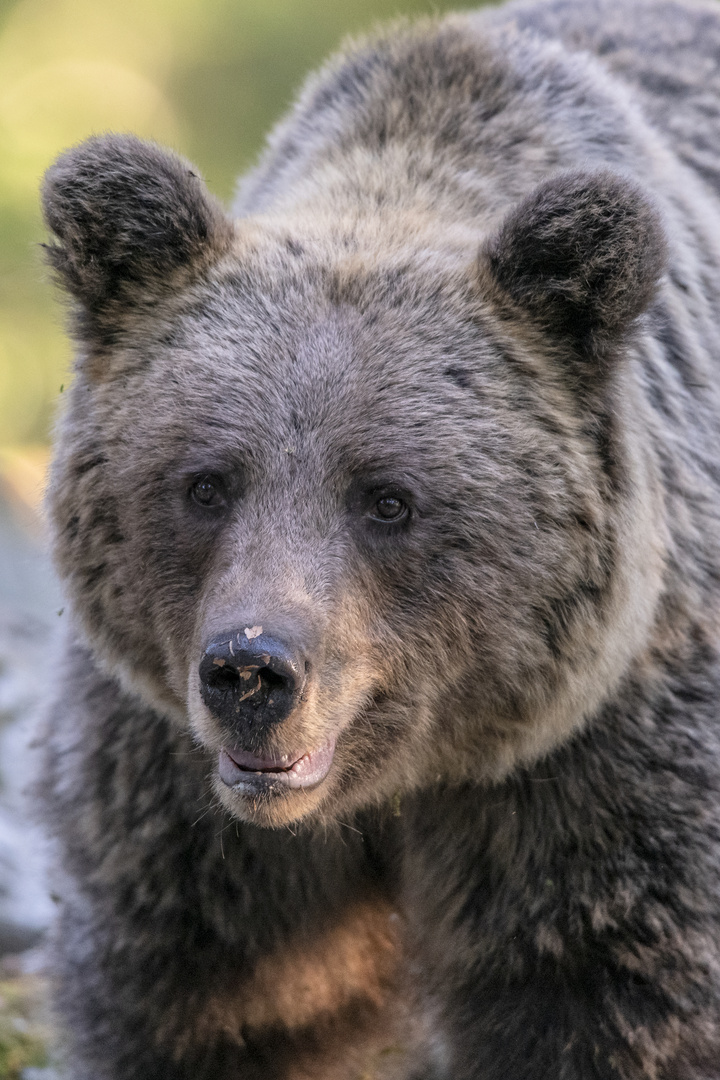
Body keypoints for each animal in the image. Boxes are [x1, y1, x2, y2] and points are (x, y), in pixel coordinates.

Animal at [38, 0, 720, 1075]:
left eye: (389, 499)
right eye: (206, 483)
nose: (251, 670)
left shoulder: (603, 768)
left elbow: (604, 999)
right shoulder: (174, 797)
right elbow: (208, 1002)